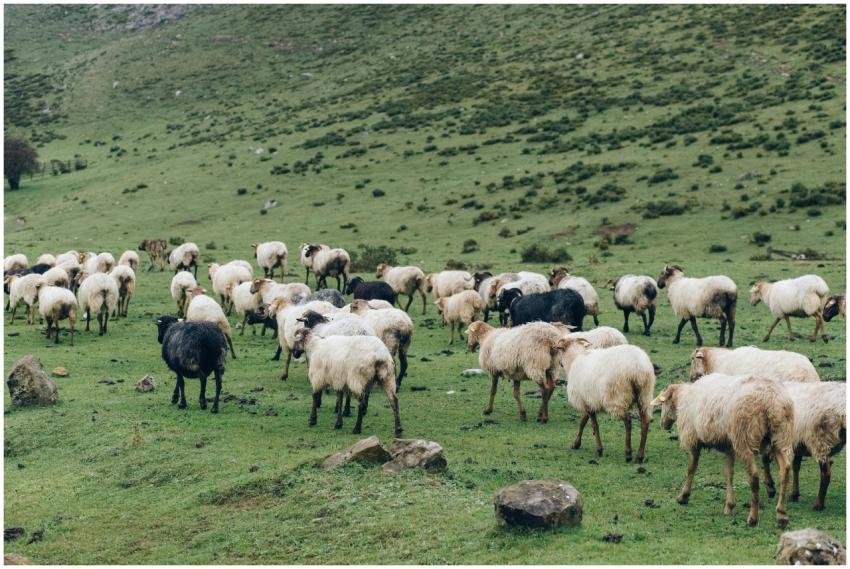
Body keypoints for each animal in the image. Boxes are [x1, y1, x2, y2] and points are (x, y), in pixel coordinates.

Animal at [652, 374, 794, 528]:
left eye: (663, 404)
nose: (663, 424)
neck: (682, 399)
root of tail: (770, 400)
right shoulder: (728, 447)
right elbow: (728, 473)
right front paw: (729, 505)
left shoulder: (694, 439)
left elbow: (691, 469)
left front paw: (683, 496)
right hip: (780, 435)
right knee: (785, 469)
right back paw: (781, 515)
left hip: (744, 436)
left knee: (754, 476)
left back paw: (753, 517)